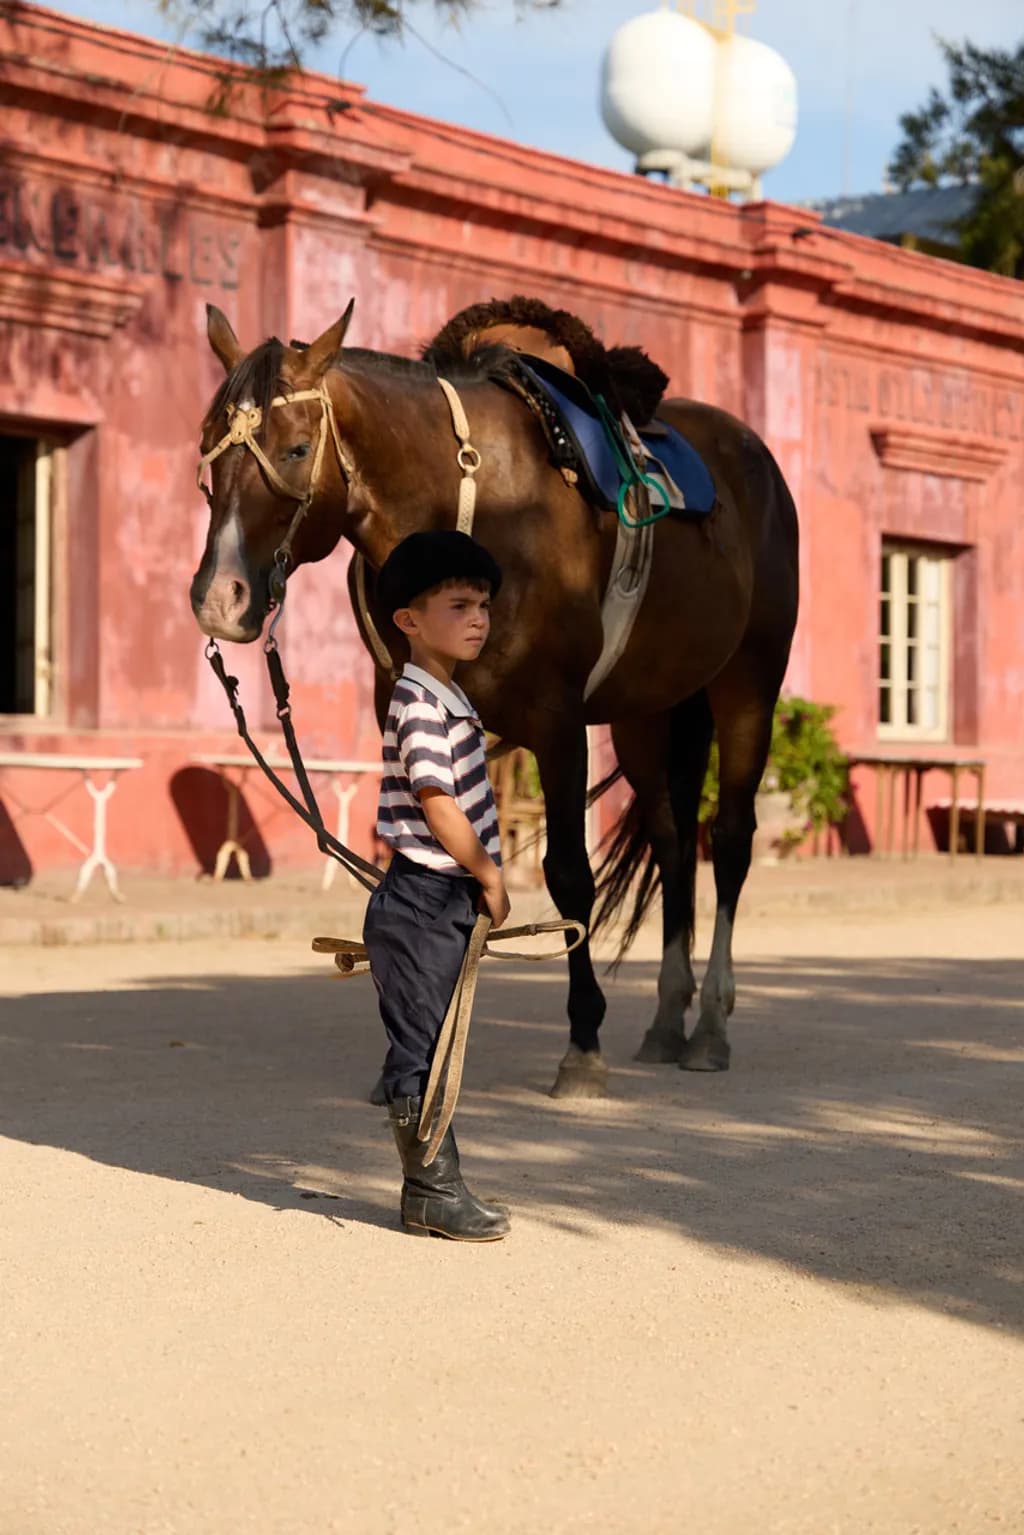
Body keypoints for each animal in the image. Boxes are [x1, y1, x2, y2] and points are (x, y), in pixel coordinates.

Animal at [190, 299, 799, 1099]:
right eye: (207, 447)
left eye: (294, 449)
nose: (218, 598)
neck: (477, 520)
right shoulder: (410, 711)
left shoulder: (559, 723)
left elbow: (568, 875)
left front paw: (582, 1044)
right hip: (648, 714)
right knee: (673, 844)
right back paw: (669, 1020)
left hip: (748, 686)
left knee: (728, 840)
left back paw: (711, 1029)